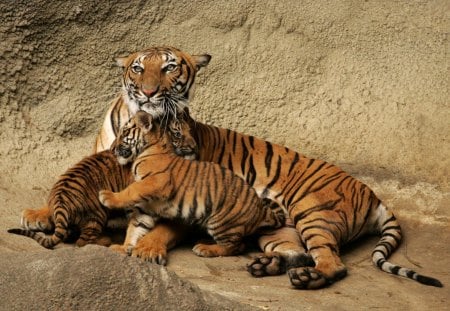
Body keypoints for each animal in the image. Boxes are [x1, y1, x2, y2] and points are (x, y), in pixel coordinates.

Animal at [22, 46, 442, 290]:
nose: (150, 93)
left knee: (333, 263)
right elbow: (69, 194)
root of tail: (374, 195)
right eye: (138, 69)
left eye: (171, 68)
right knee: (297, 252)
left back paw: (306, 278)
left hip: (314, 212)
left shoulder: (179, 197)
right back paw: (267, 266)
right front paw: (38, 214)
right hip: (282, 230)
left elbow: (158, 225)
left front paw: (146, 250)